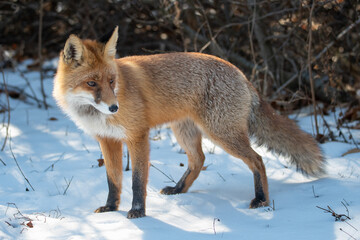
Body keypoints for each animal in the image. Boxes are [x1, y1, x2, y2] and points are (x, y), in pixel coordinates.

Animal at [53, 27, 326, 218]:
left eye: (111, 81)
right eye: (91, 83)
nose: (114, 108)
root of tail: (240, 72)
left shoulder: (137, 136)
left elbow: (137, 181)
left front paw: (138, 212)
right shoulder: (107, 140)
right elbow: (113, 180)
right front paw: (111, 208)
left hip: (222, 134)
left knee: (257, 160)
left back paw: (261, 200)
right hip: (185, 132)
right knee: (199, 160)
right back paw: (178, 190)